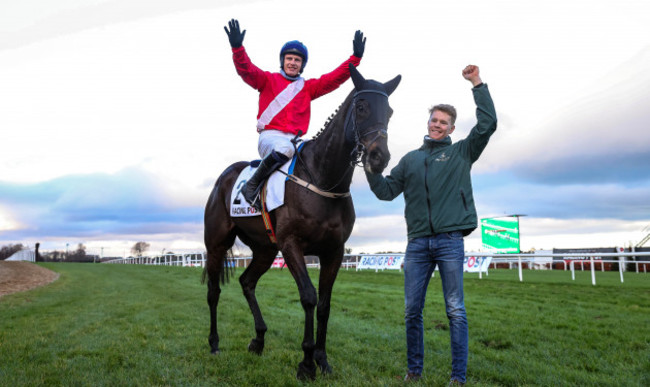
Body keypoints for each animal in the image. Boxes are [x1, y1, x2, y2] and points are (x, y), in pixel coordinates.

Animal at [202, 65, 398, 380]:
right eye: (362, 107)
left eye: (389, 111)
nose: (379, 157)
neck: (322, 179)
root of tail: (224, 177)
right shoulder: (291, 244)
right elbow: (308, 297)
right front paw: (306, 363)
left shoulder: (334, 251)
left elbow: (325, 304)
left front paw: (322, 360)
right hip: (217, 243)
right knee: (213, 291)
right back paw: (214, 344)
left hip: (265, 249)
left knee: (247, 281)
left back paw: (259, 339)